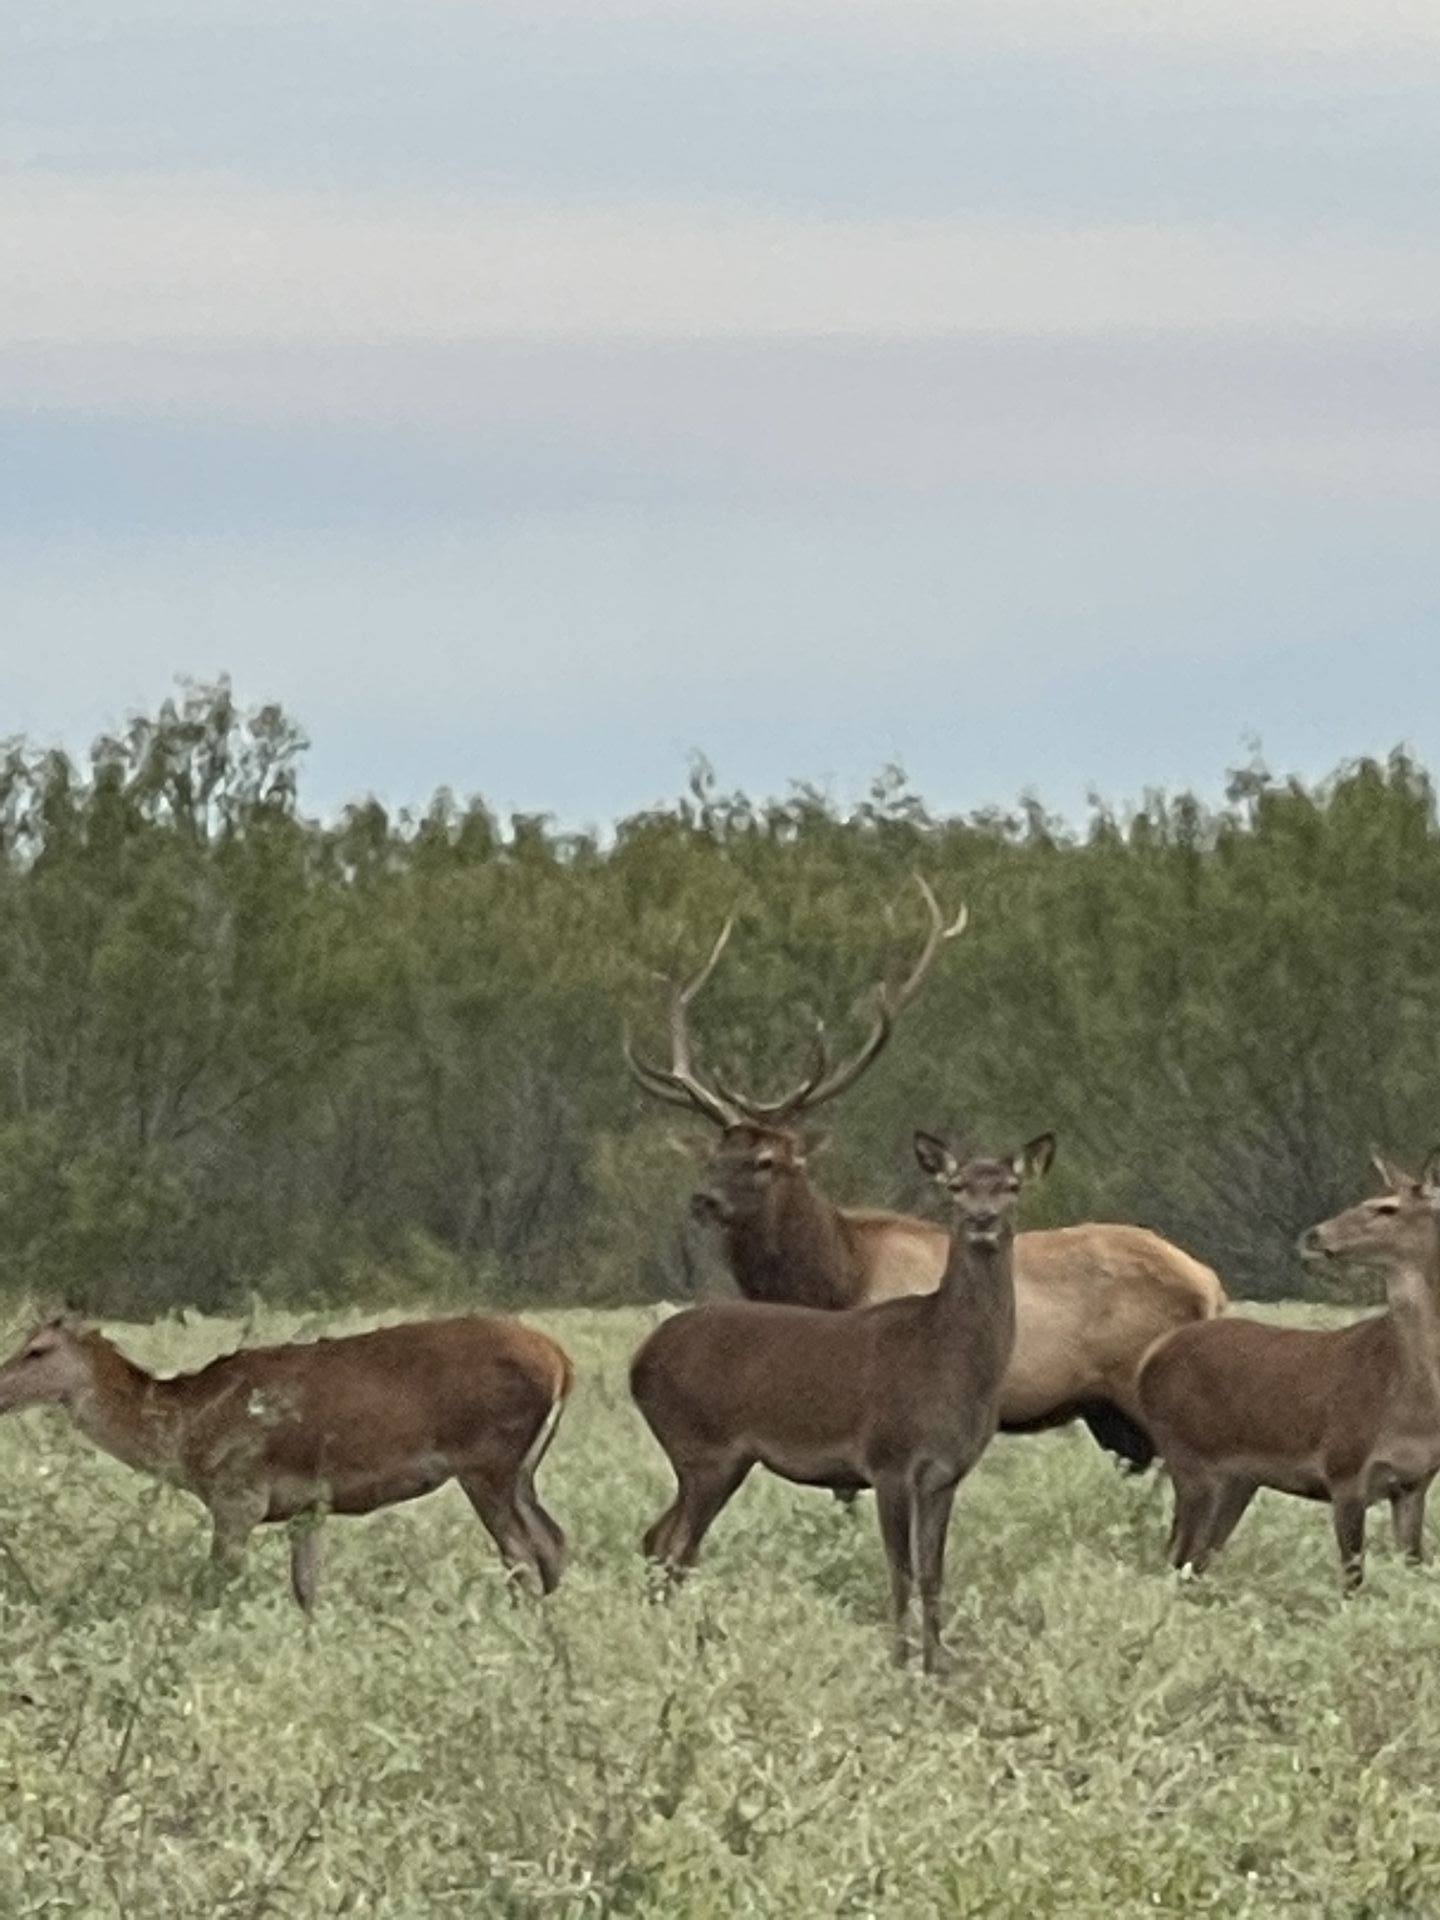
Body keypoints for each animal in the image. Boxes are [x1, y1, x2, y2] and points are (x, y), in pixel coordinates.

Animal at [0, 1310, 573, 1610]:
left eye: (37, 1349)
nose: (0, 1387)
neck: (187, 1434)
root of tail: (562, 1363)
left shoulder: (238, 1495)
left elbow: (217, 1585)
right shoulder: (307, 1507)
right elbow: (306, 1590)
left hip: (487, 1460)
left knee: (522, 1552)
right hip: (521, 1470)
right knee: (554, 1541)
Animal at [624, 879, 1225, 1473]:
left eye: (767, 1161)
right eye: (713, 1157)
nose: (704, 1200)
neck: (834, 1279)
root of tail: (1211, 1285)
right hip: (1109, 1413)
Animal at [632, 1128, 1054, 1672]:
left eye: (1011, 1186)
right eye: (956, 1186)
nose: (983, 1221)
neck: (945, 1358)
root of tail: (639, 1361)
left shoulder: (945, 1474)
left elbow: (934, 1573)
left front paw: (936, 1664)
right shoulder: (888, 1460)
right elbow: (900, 1570)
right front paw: (899, 1662)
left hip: (711, 1459)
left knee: (657, 1539)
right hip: (704, 1449)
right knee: (676, 1546)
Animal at [1137, 1148, 1440, 1590]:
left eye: (1387, 1207)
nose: (1313, 1236)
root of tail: (1149, 1358)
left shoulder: (1416, 1481)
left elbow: (1414, 1566)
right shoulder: (1344, 1467)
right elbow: (1353, 1579)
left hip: (1237, 1480)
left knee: (1194, 1560)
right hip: (1188, 1457)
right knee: (1175, 1558)